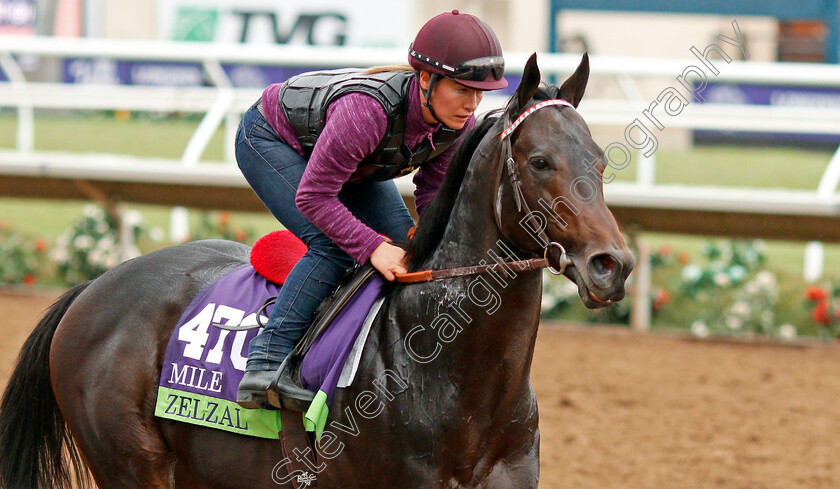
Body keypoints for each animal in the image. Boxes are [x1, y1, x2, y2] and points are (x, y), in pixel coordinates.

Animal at [0, 53, 632, 488]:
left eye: (600, 161)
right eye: (540, 161)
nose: (613, 265)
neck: (453, 377)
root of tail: (94, 287)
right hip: (130, 464)